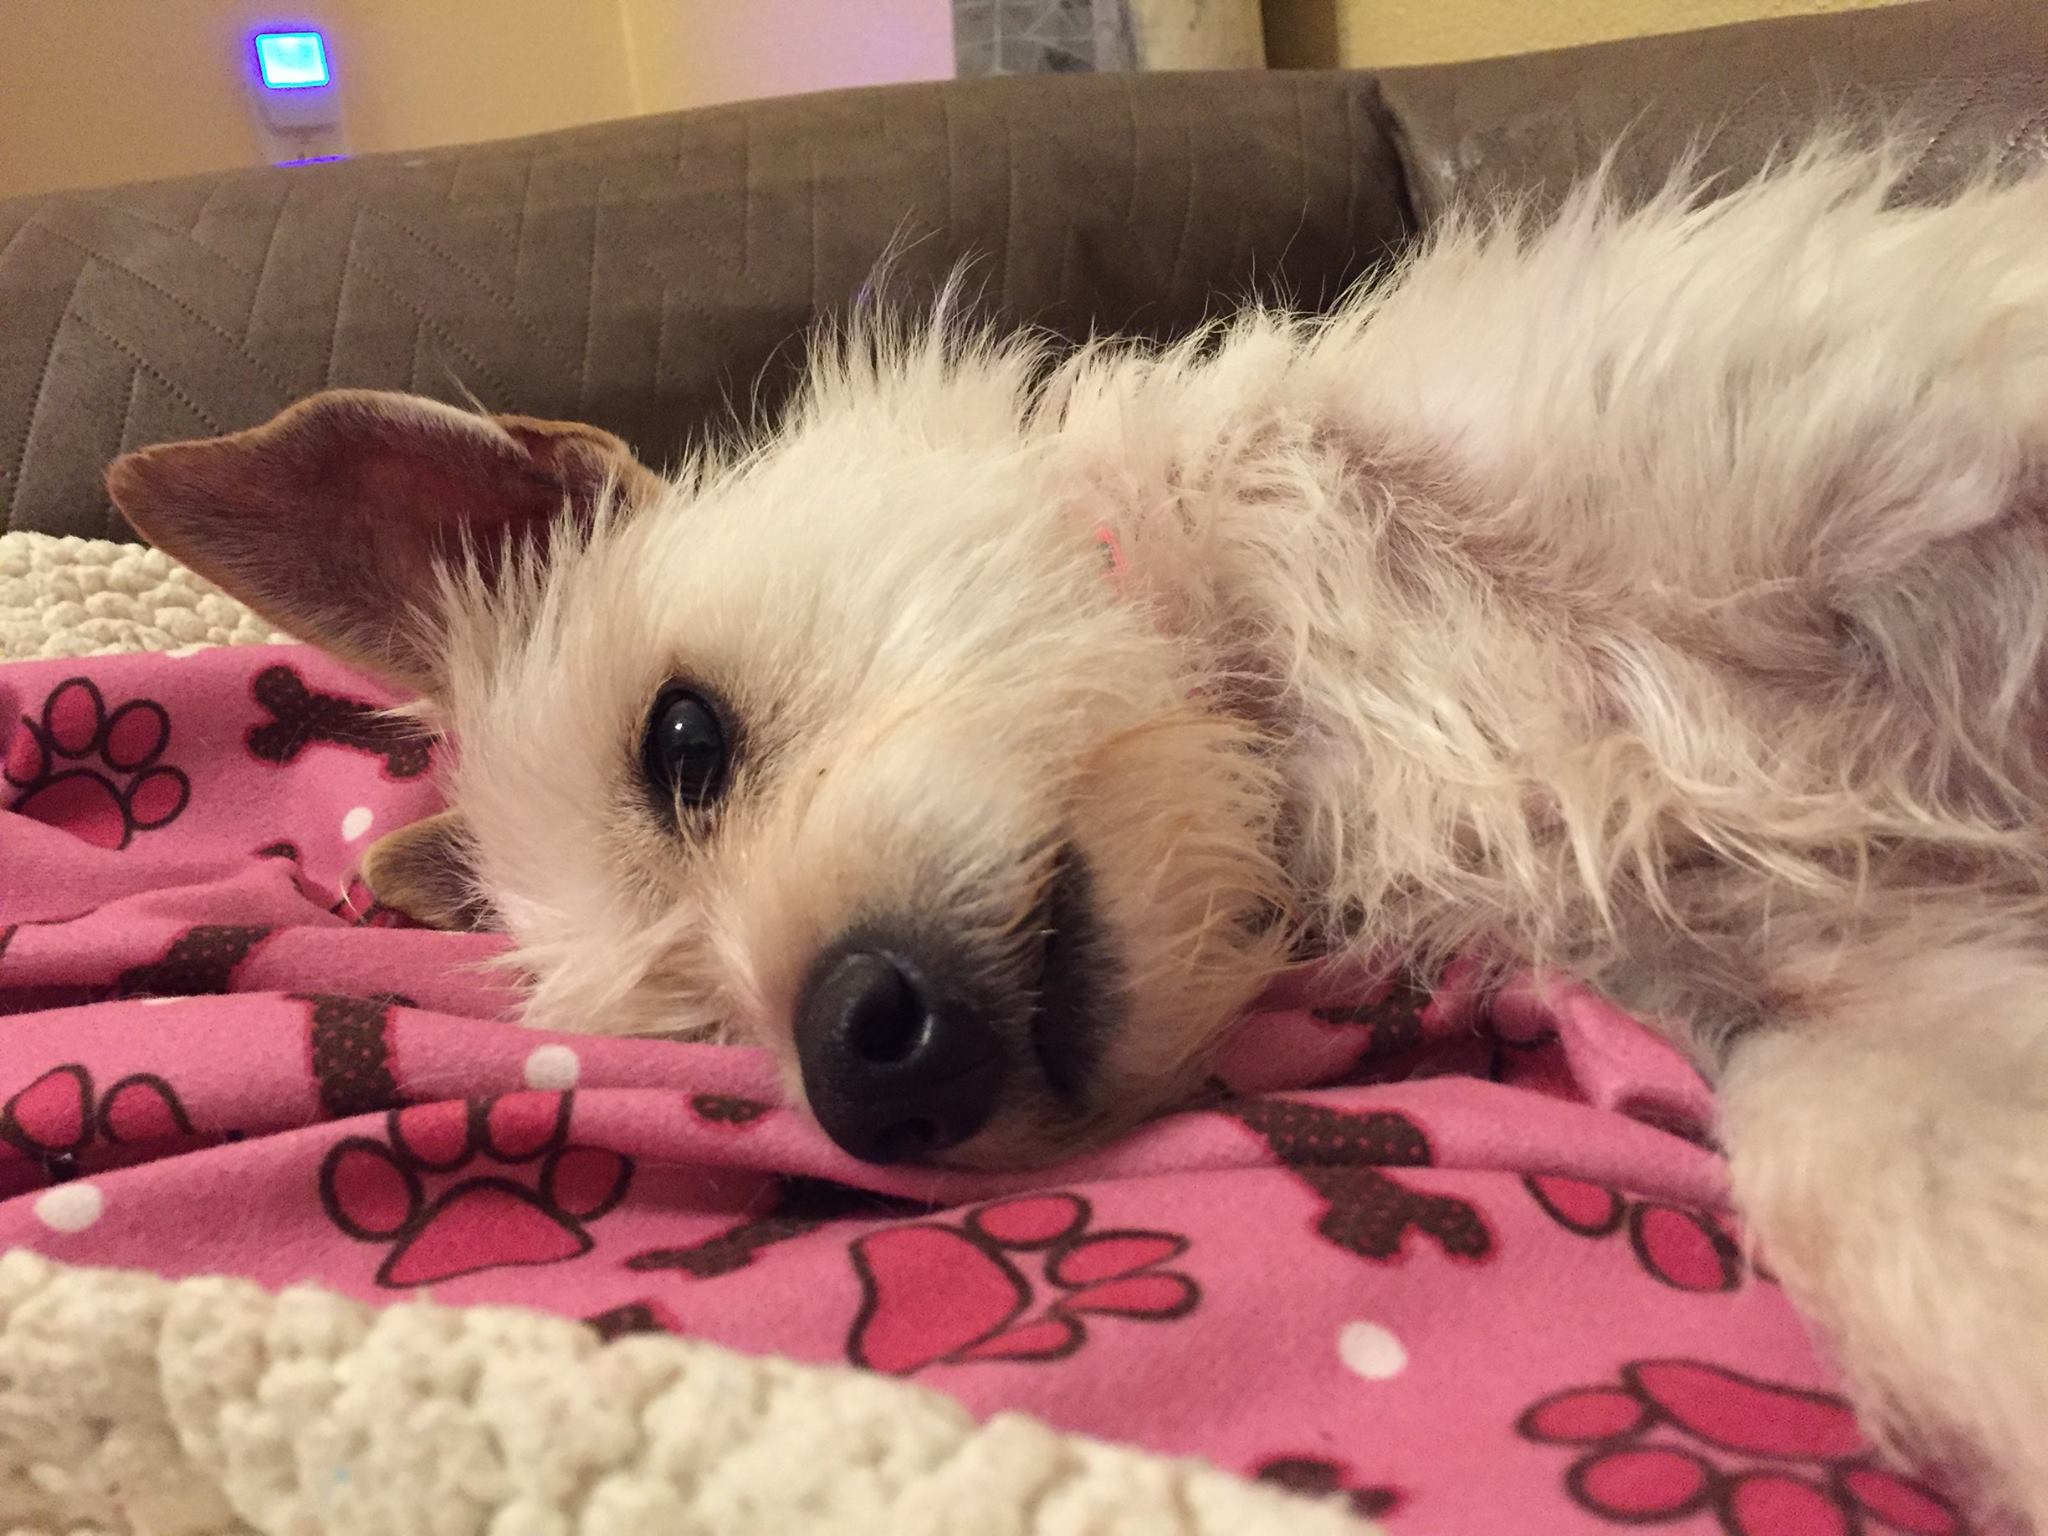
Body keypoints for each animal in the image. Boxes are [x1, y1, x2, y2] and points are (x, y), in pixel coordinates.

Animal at [107, 140, 2048, 1526]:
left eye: (683, 742)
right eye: (698, 1031)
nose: (859, 1062)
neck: (1286, 692)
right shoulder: (1815, 983)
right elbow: (1877, 1170)